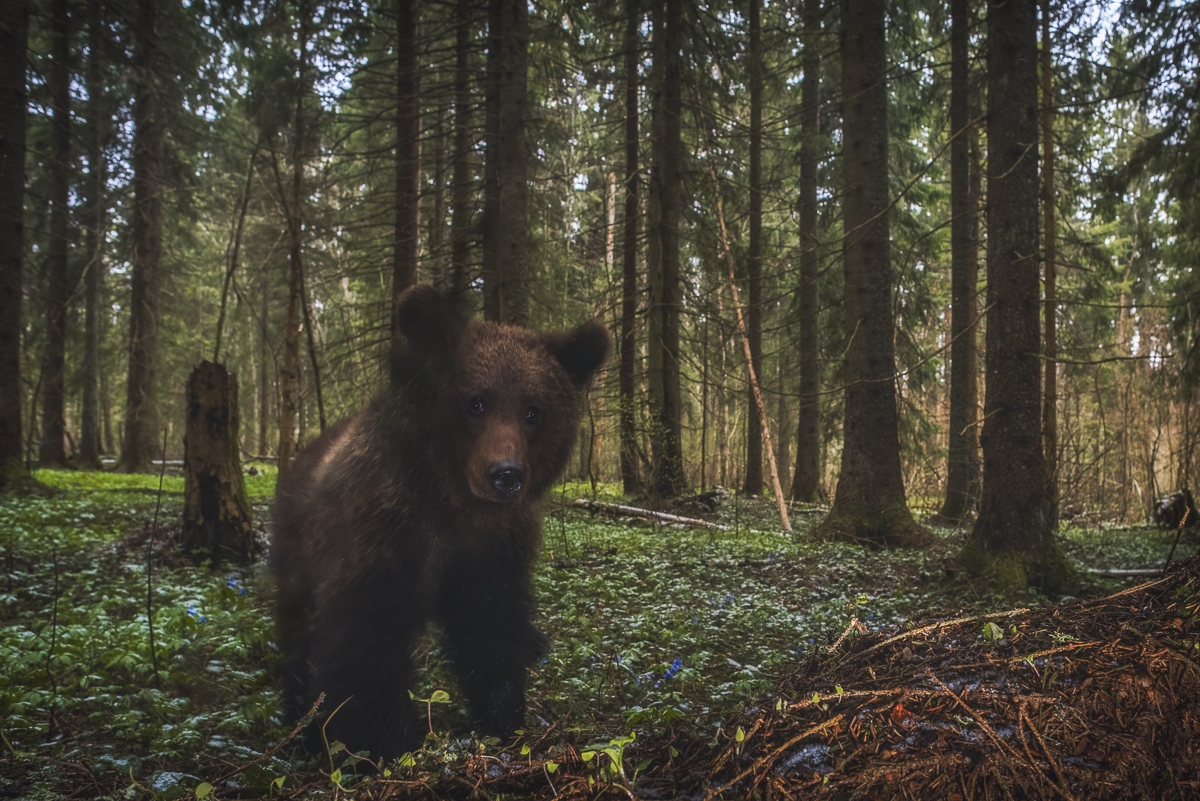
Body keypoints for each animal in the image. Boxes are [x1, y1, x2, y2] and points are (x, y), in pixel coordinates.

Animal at [270, 284, 608, 760]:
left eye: (533, 410)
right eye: (476, 402)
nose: (506, 474)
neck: (454, 501)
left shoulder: (491, 549)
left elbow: (490, 629)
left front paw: (504, 720)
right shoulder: (384, 535)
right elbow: (365, 643)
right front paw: (384, 743)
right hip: (298, 551)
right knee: (299, 635)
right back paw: (299, 724)